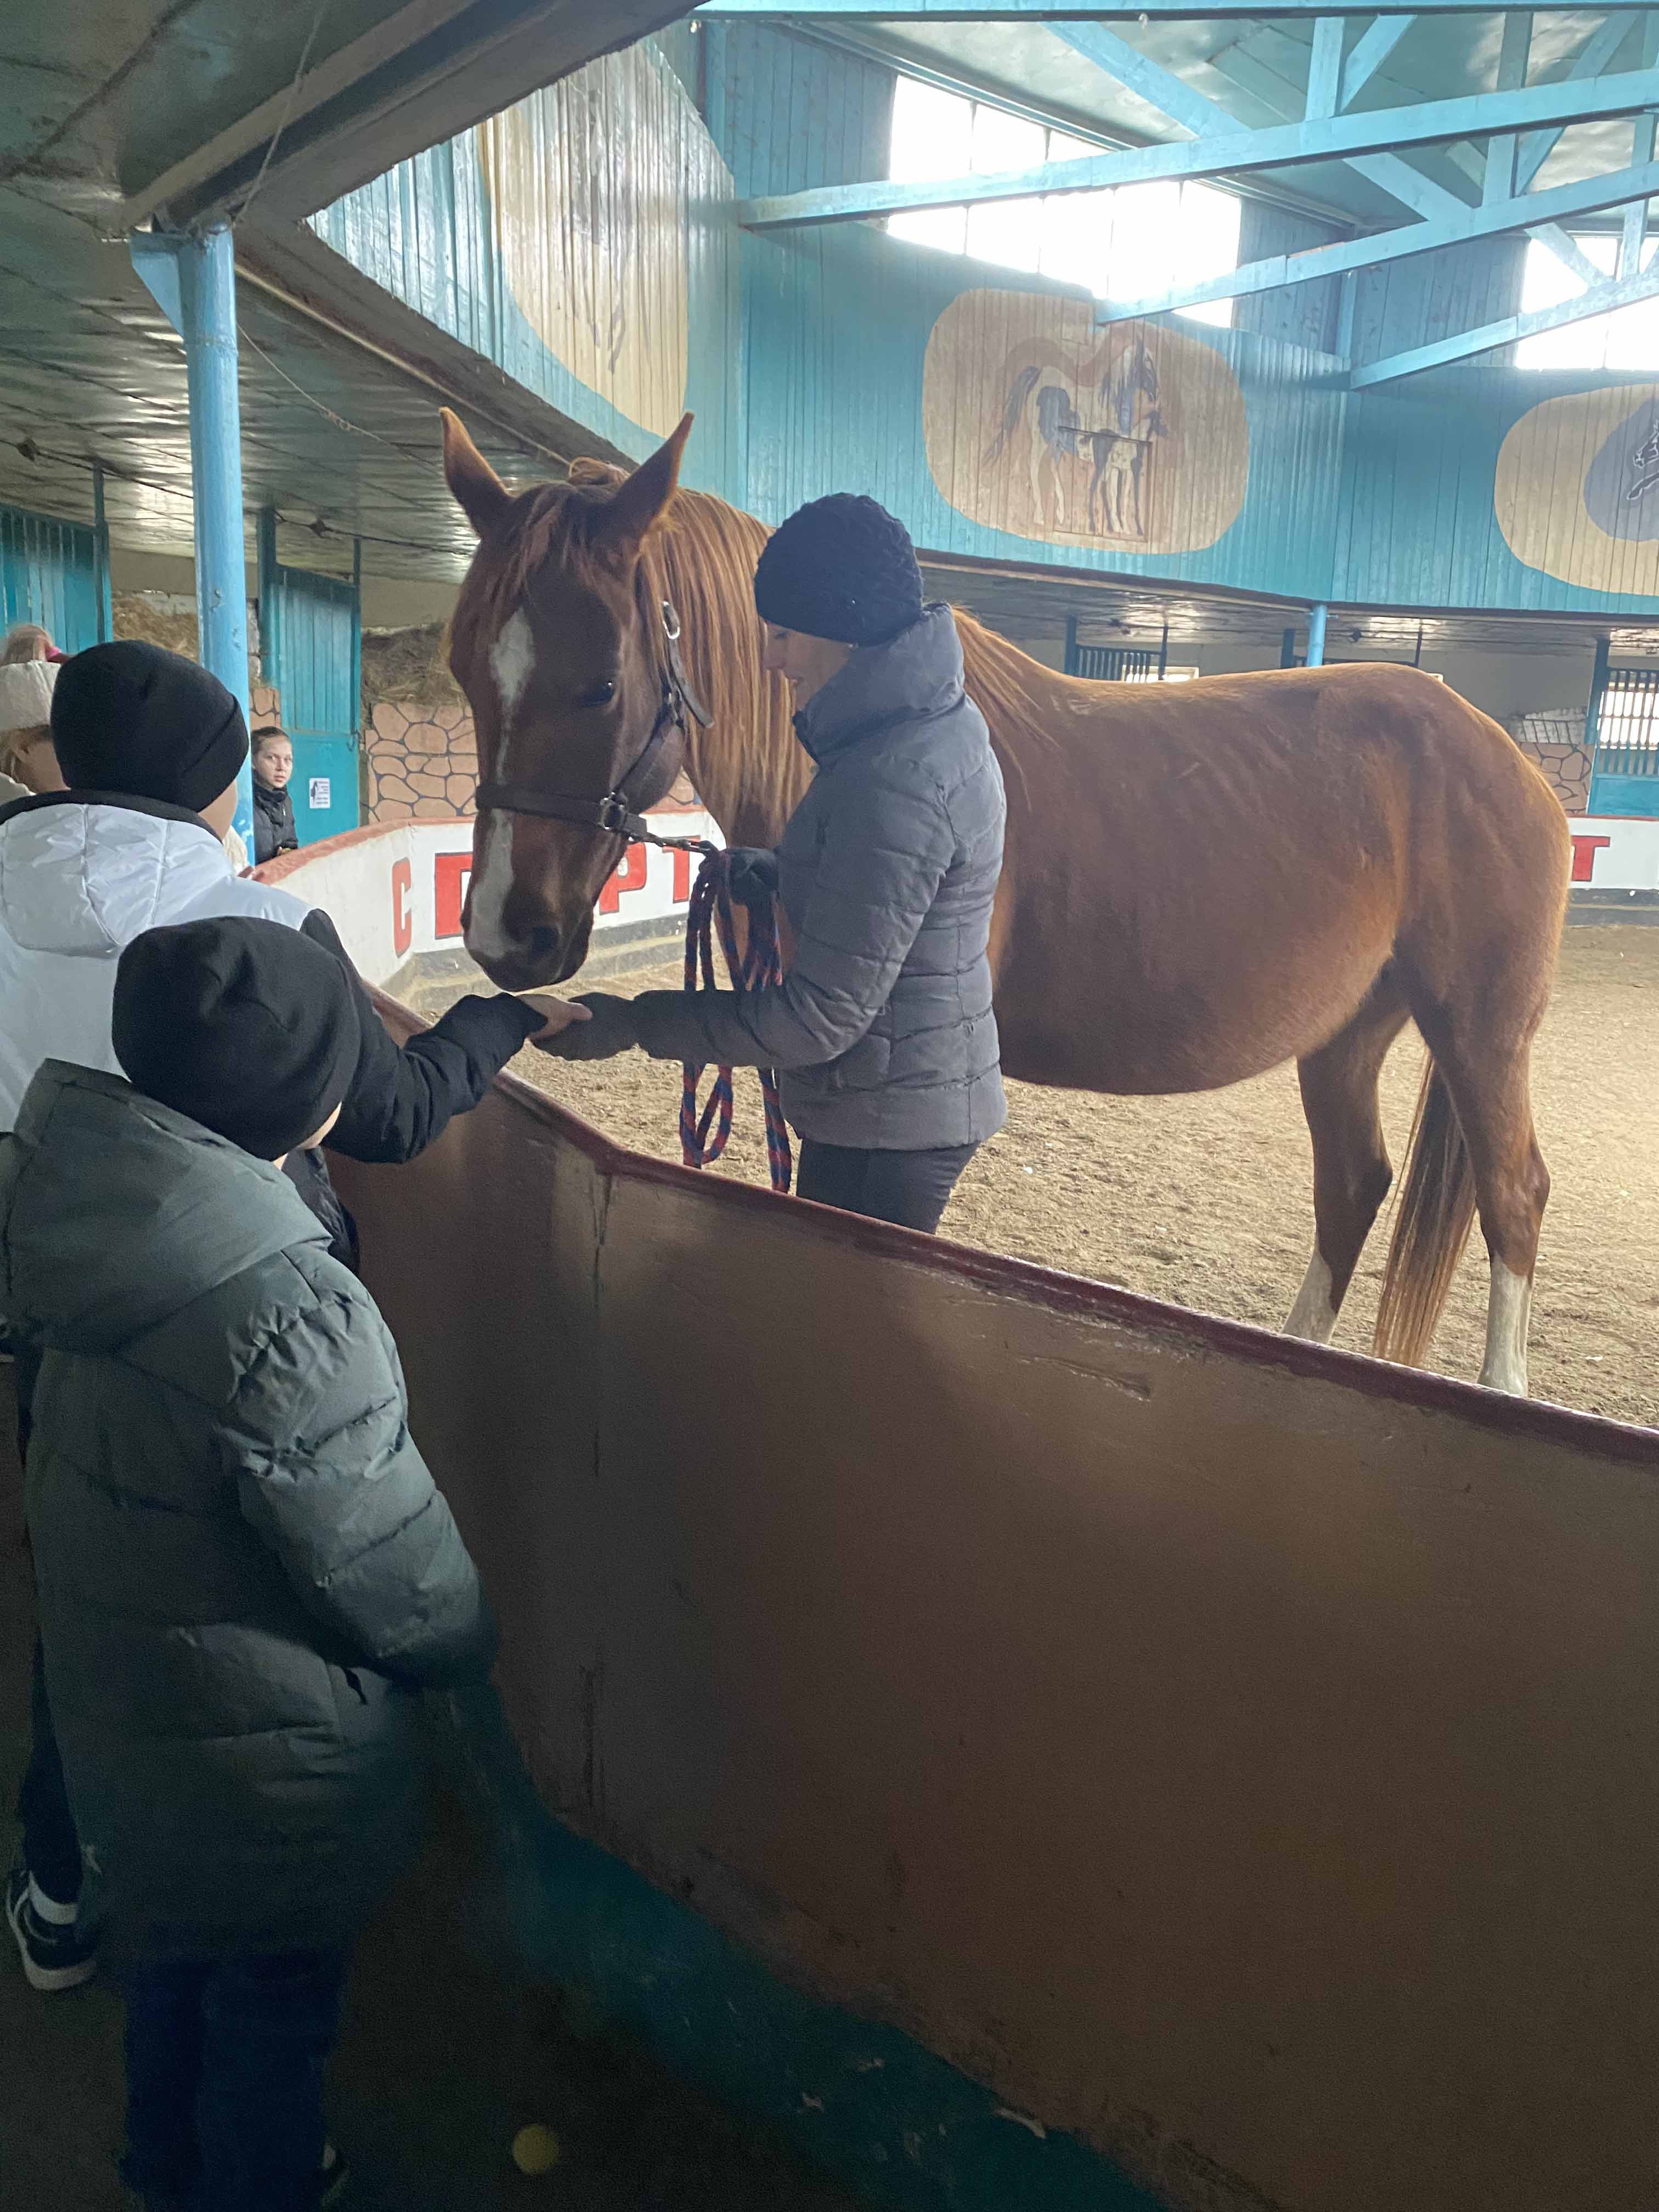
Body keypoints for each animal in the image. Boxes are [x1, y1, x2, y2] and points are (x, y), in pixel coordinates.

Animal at [438, 407, 1575, 1389]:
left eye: (600, 684)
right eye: (462, 671)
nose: (503, 932)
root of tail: (1506, 757)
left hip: (1479, 1030)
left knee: (1512, 1198)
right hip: (1345, 1033)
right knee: (1351, 1187)